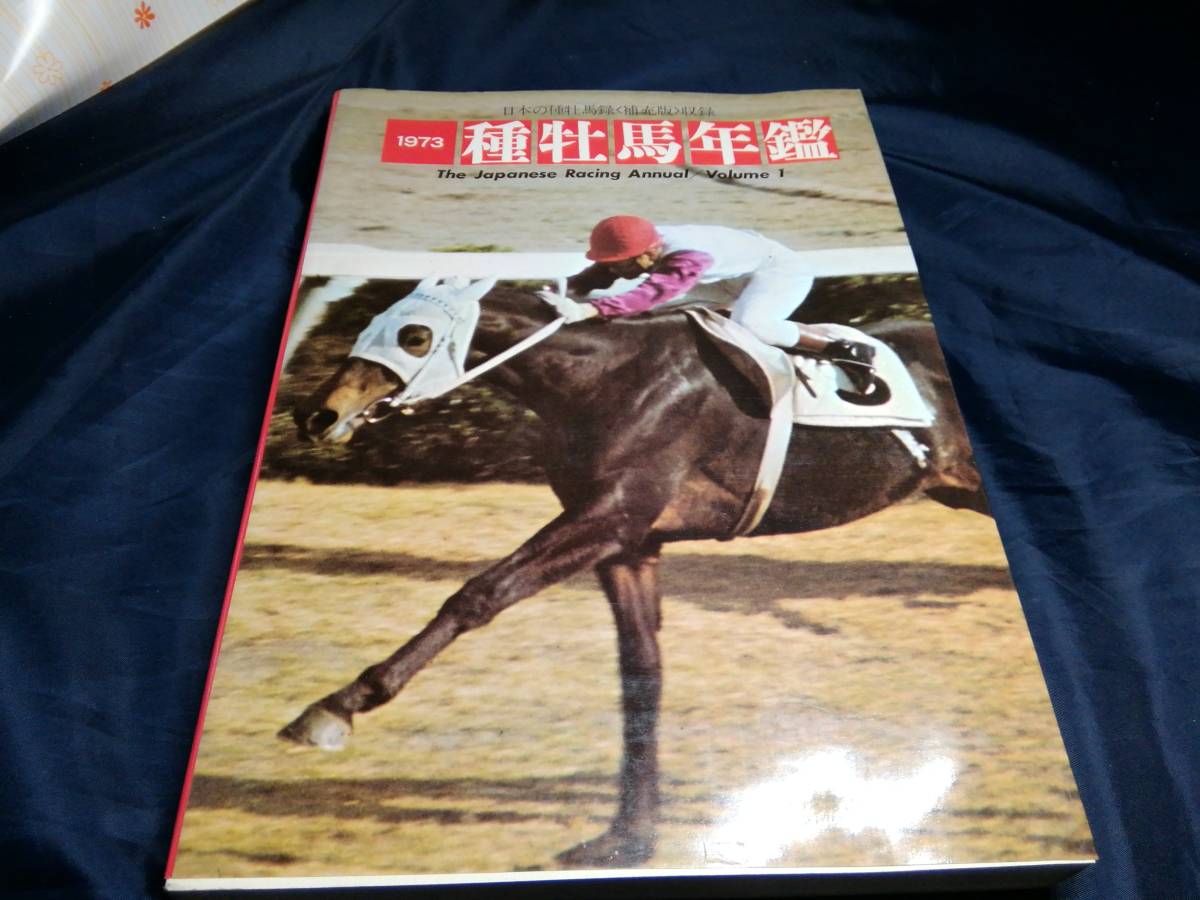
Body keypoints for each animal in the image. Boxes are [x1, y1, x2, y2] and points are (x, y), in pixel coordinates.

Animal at [279, 278, 988, 867]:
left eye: (414, 335)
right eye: (371, 324)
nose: (315, 414)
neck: (601, 380)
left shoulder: (610, 517)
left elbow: (479, 594)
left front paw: (335, 706)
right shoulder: (629, 545)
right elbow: (641, 673)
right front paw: (628, 836)